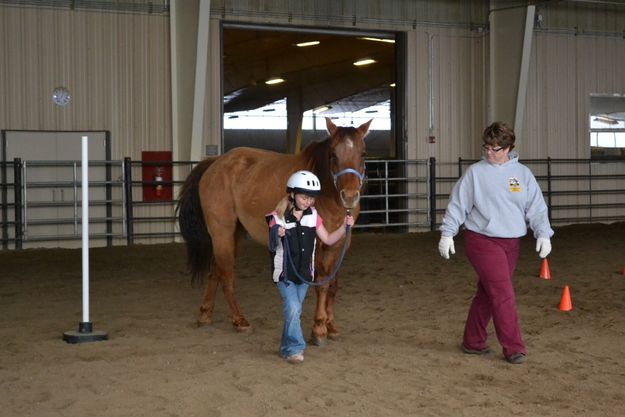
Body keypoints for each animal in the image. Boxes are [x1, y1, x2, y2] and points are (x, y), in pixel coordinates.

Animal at [174, 118, 370, 344]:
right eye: (333, 154)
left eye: (363, 154)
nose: (349, 196)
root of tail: (214, 163)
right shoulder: (317, 244)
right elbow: (322, 284)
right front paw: (319, 328)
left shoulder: (340, 244)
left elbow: (333, 285)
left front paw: (331, 326)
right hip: (221, 232)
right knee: (226, 275)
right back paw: (239, 321)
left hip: (234, 234)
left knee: (216, 272)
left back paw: (205, 315)